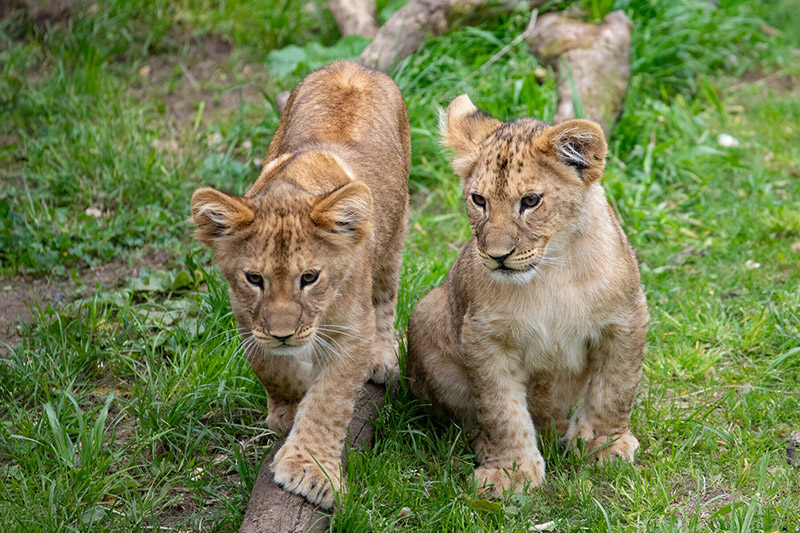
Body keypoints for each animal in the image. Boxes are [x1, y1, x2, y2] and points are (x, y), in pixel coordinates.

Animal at [190, 61, 410, 508]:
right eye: (254, 279)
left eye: (309, 278)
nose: (284, 333)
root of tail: (353, 65)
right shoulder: (248, 319)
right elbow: (271, 367)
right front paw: (288, 411)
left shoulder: (351, 329)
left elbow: (330, 400)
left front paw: (310, 471)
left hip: (396, 231)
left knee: (386, 293)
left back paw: (382, 357)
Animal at [406, 94, 648, 494]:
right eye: (479, 200)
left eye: (531, 201)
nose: (497, 255)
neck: (551, 271)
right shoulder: (484, 337)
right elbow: (501, 409)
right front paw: (511, 470)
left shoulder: (626, 319)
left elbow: (615, 388)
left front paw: (604, 443)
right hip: (426, 313)